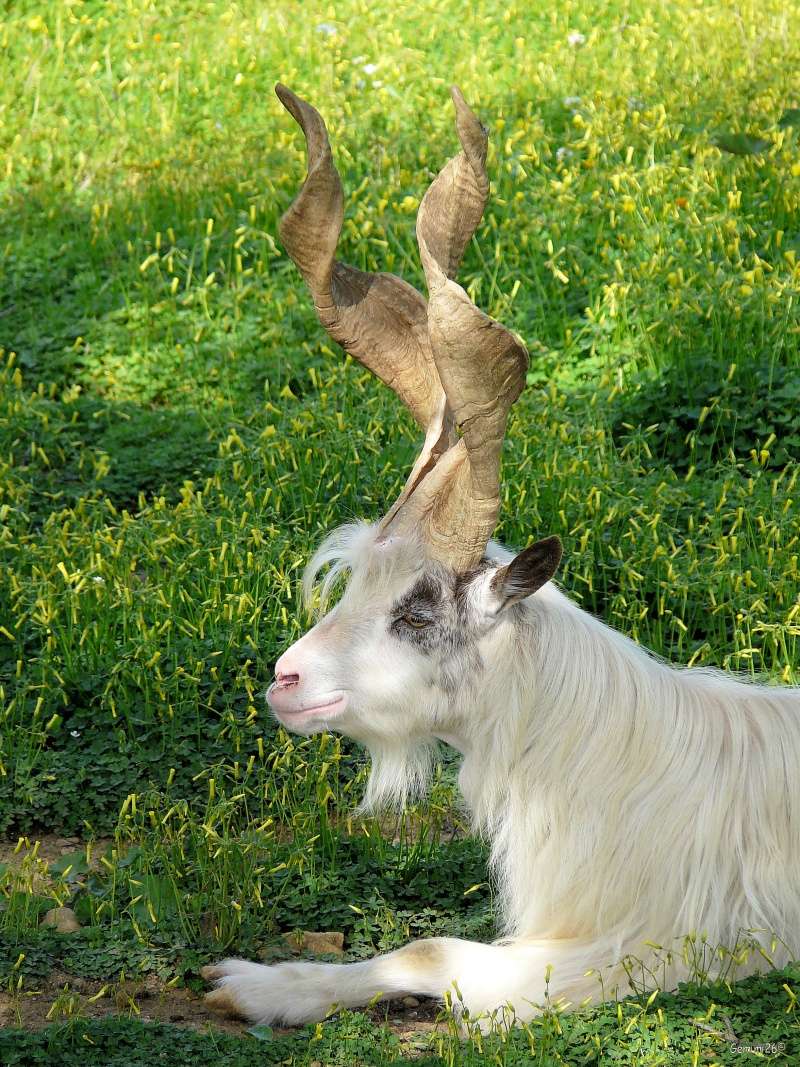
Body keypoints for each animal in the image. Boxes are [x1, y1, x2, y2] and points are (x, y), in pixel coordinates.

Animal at [203, 81, 800, 1024]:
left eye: (416, 611)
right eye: (352, 579)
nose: (285, 680)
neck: (610, 756)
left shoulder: (651, 949)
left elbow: (430, 949)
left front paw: (262, 987)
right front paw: (267, 980)